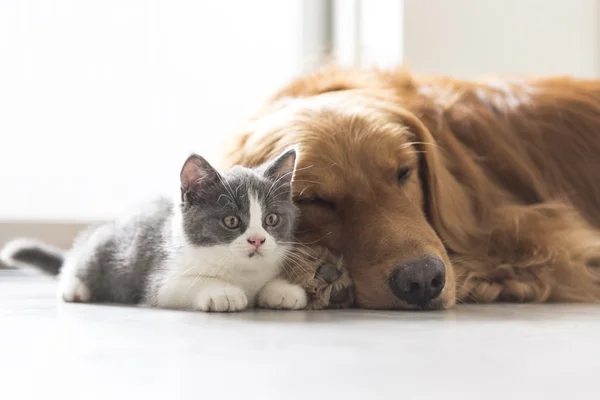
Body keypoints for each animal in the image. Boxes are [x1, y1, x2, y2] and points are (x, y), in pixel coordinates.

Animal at [0, 148, 308, 310]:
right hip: (101, 247)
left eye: (271, 220)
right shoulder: (160, 280)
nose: (257, 240)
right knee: (78, 262)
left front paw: (283, 290)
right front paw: (223, 292)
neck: (241, 273)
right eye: (231, 221)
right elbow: (185, 284)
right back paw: (74, 288)